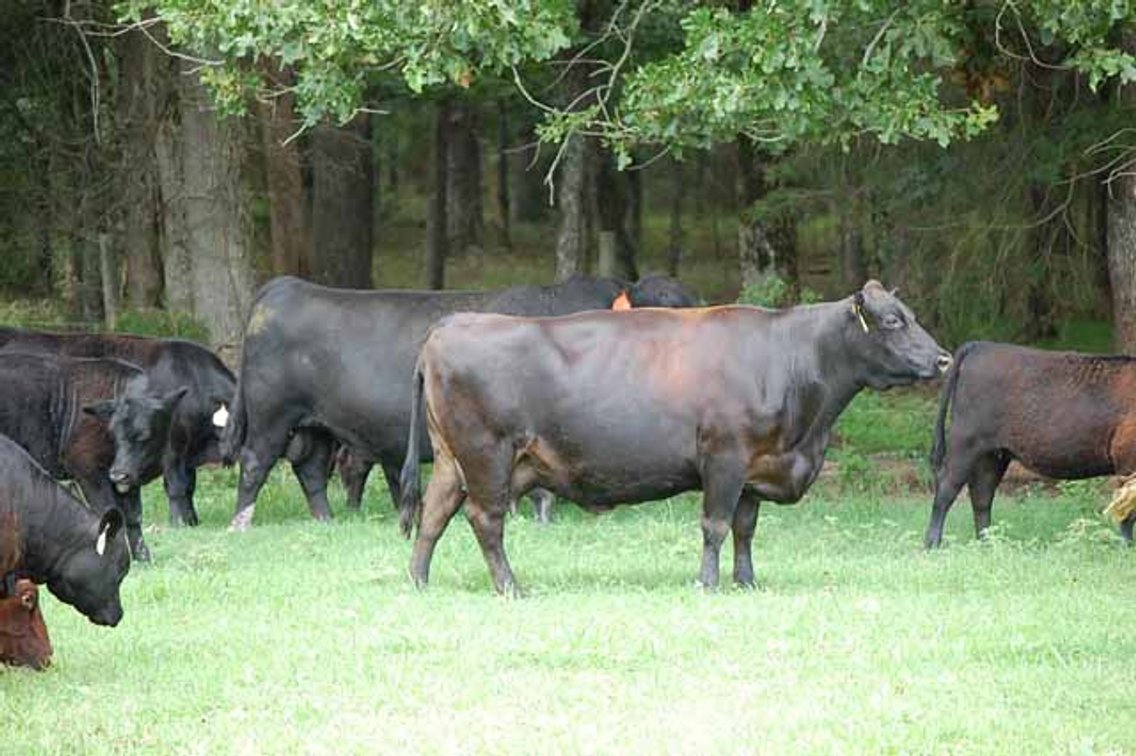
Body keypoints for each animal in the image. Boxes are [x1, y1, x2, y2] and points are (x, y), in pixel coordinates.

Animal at [0, 353, 182, 561]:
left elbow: (133, 516)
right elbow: (107, 511)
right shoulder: (88, 470)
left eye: (145, 434)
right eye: (113, 432)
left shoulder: (129, 476)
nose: (118, 474)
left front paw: (142, 556)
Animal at [221, 274, 697, 529]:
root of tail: (284, 287)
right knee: (256, 462)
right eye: (661, 309)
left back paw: (327, 520)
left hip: (316, 424)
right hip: (271, 415)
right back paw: (240, 523)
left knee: (311, 469)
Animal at [397, 281, 952, 595]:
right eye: (893, 320)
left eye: (913, 317)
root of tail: (450, 324)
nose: (944, 358)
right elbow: (716, 525)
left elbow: (745, 528)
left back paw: (418, 580)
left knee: (434, 513)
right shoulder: (724, 457)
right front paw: (706, 583)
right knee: (483, 519)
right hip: (486, 454)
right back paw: (510, 586)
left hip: (450, 459)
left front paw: (746, 582)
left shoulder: (756, 464)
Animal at [925, 341, 1136, 548]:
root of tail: (979, 346)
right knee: (947, 489)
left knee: (981, 495)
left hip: (993, 455)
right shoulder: (1126, 464)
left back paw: (987, 543)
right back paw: (932, 544)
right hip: (965, 447)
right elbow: (1126, 513)